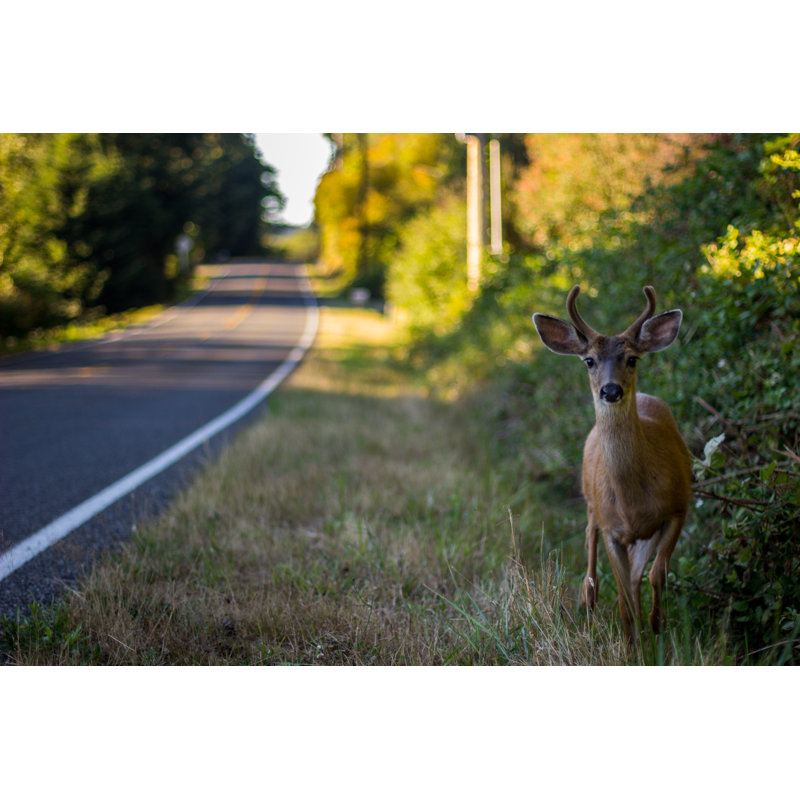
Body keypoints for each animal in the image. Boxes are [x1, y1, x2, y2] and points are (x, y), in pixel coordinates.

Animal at [532, 285, 692, 643]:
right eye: (589, 360)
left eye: (632, 358)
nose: (610, 390)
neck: (633, 500)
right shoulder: (611, 528)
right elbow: (622, 597)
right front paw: (633, 643)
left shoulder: (678, 507)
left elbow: (655, 574)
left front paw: (656, 626)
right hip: (592, 502)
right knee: (590, 542)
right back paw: (586, 600)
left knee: (635, 576)